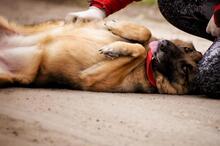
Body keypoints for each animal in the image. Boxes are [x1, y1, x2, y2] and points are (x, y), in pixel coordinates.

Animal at [0, 17, 203, 94]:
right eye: (187, 49)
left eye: (186, 69)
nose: (164, 44)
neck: (148, 65)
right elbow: (145, 34)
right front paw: (116, 27)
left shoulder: (91, 78)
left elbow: (140, 50)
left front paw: (114, 48)